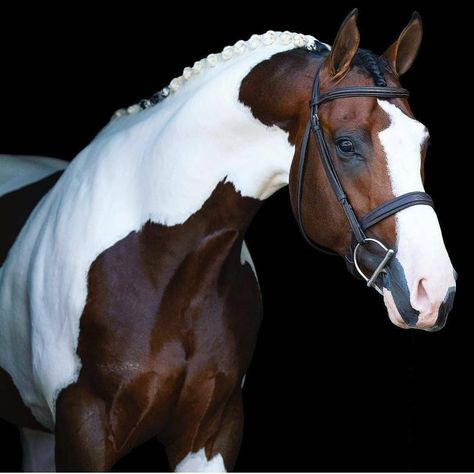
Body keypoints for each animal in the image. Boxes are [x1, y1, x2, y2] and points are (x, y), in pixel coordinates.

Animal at [0, 9, 460, 472]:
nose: (433, 291)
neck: (162, 263)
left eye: (423, 142)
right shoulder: (84, 431)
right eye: (346, 144)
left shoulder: (212, 432)